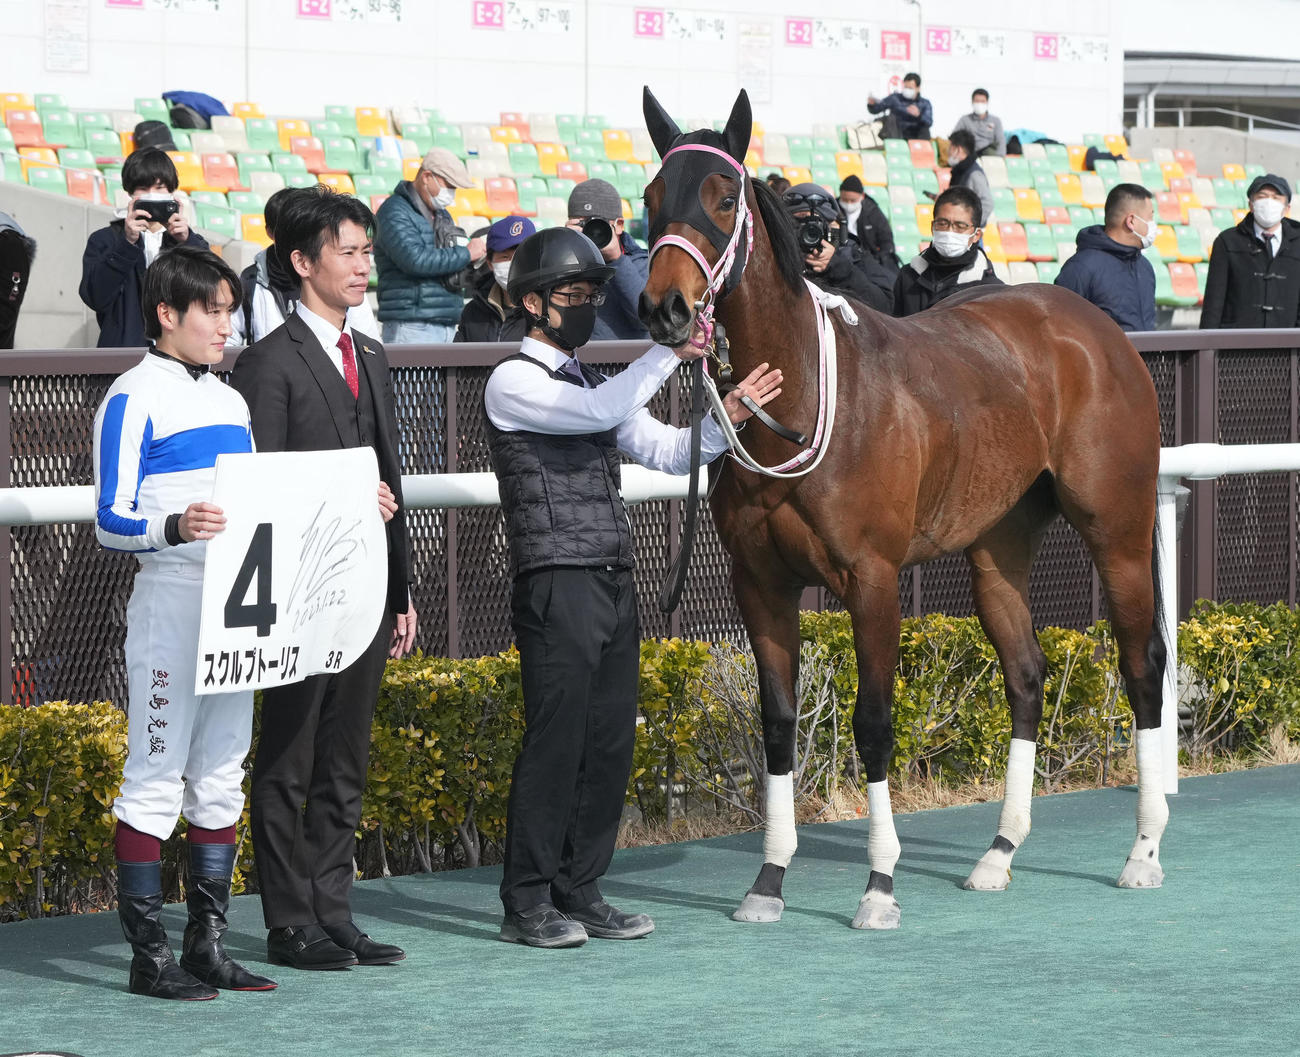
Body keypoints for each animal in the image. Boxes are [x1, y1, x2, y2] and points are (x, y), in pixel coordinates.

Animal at [637, 86, 1169, 930]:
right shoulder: (760, 582)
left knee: (1140, 662)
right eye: (653, 198)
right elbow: (778, 722)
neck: (803, 392)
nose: (665, 307)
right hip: (997, 547)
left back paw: (1143, 851)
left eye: (723, 199)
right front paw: (768, 880)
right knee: (1025, 673)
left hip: (1116, 527)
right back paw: (998, 853)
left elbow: (874, 721)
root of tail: (1093, 326)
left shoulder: (873, 578)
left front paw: (879, 885)